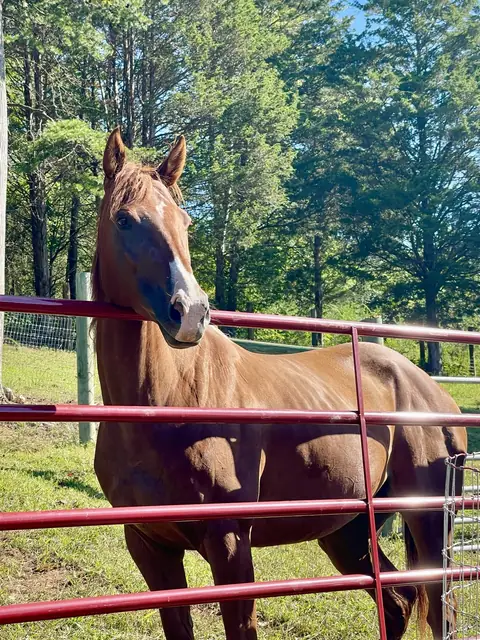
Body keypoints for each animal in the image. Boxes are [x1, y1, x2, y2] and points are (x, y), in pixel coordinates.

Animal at [93, 127, 467, 640]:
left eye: (186, 222)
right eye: (124, 219)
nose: (190, 311)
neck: (166, 403)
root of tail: (433, 392)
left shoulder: (230, 544)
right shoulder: (150, 547)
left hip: (429, 522)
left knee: (437, 610)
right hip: (350, 529)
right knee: (398, 601)